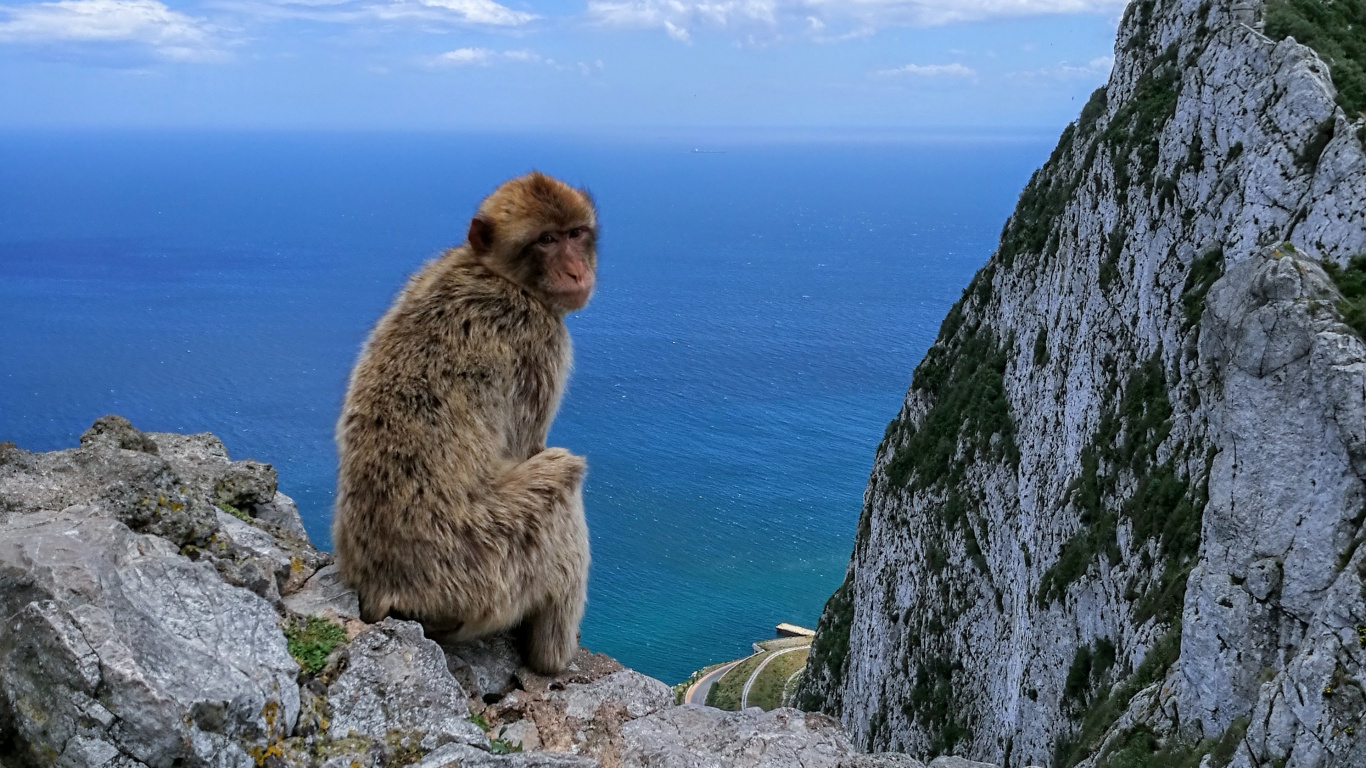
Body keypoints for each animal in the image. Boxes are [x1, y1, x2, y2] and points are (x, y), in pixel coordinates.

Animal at [332, 171, 597, 674]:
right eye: (546, 240)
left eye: (575, 234)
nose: (577, 272)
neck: (495, 272)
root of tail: (384, 589)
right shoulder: (540, 339)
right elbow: (529, 447)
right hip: (484, 565)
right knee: (562, 479)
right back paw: (552, 658)